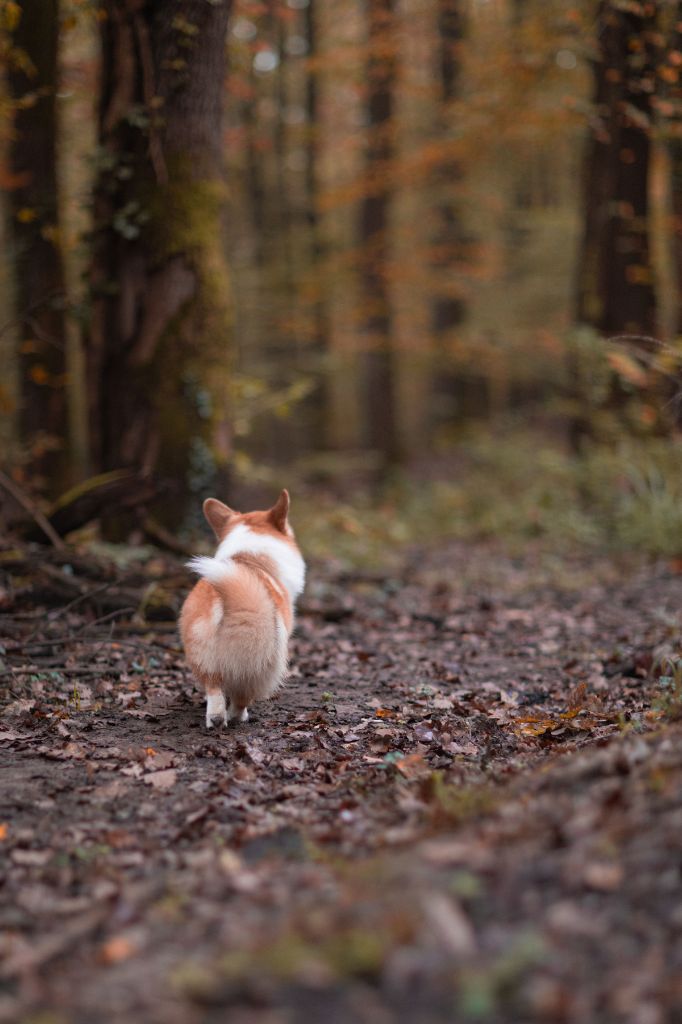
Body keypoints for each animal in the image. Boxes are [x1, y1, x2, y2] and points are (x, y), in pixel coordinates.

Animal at [179, 489, 303, 724]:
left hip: (202, 654)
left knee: (214, 690)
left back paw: (216, 719)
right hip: (264, 664)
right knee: (242, 696)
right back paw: (238, 716)